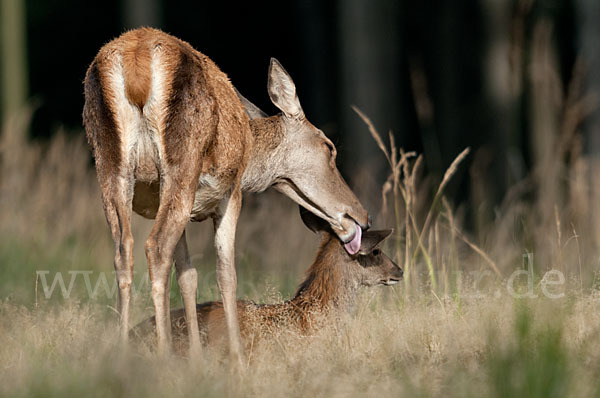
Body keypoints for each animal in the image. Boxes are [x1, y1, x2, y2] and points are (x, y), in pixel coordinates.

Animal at [82, 26, 368, 360]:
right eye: (330, 147)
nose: (362, 217)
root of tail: (136, 64)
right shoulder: (230, 192)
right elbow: (226, 273)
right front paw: (237, 358)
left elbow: (188, 274)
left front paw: (196, 356)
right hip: (182, 162)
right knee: (155, 246)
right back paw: (163, 356)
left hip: (111, 168)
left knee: (123, 250)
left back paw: (122, 353)